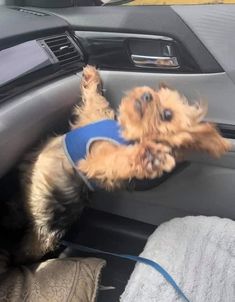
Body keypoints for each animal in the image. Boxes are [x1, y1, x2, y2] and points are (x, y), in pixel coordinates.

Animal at [17, 65, 229, 262]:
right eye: (156, 94)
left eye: (167, 115)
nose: (147, 94)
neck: (126, 134)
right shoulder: (94, 116)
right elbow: (96, 101)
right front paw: (91, 76)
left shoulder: (95, 163)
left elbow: (117, 160)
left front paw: (148, 156)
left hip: (49, 223)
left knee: (35, 244)